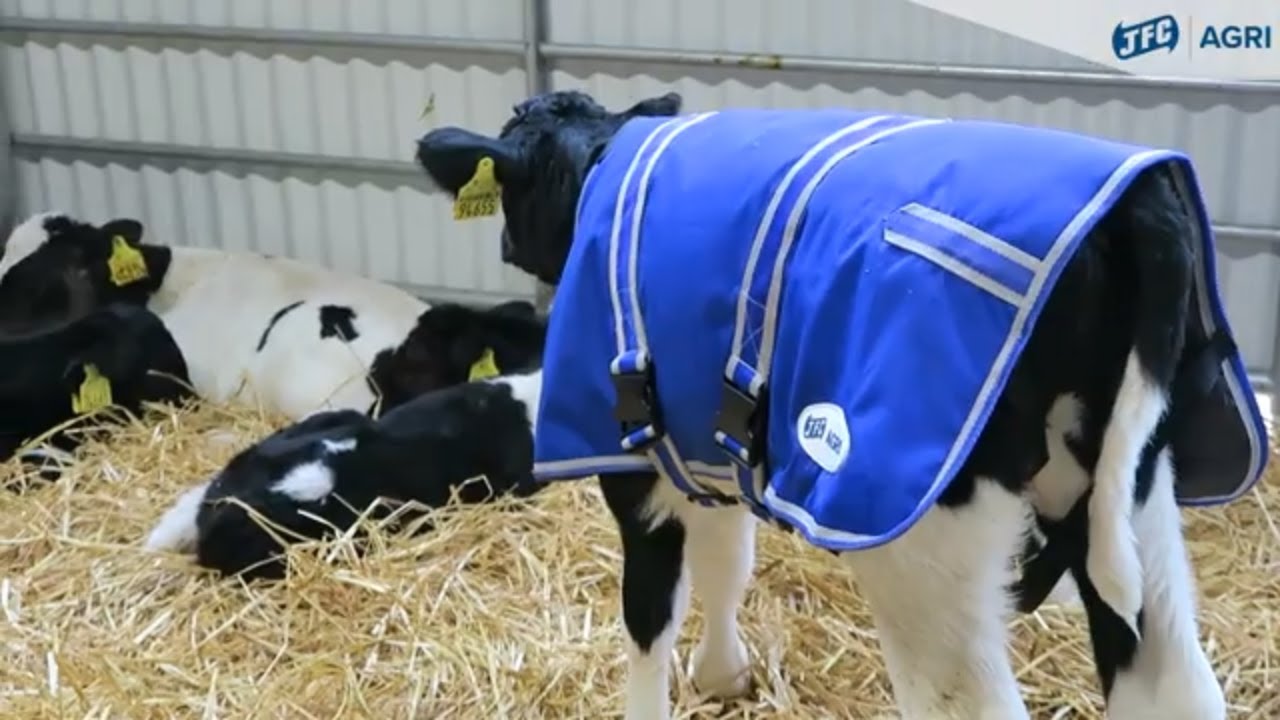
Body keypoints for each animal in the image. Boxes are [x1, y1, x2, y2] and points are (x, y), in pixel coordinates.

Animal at [412, 90, 1267, 720]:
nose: (509, 247)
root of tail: (1136, 207)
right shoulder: (705, 439)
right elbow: (728, 561)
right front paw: (724, 675)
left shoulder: (633, 458)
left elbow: (651, 615)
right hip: (1126, 487)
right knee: (1174, 681)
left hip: (926, 536)